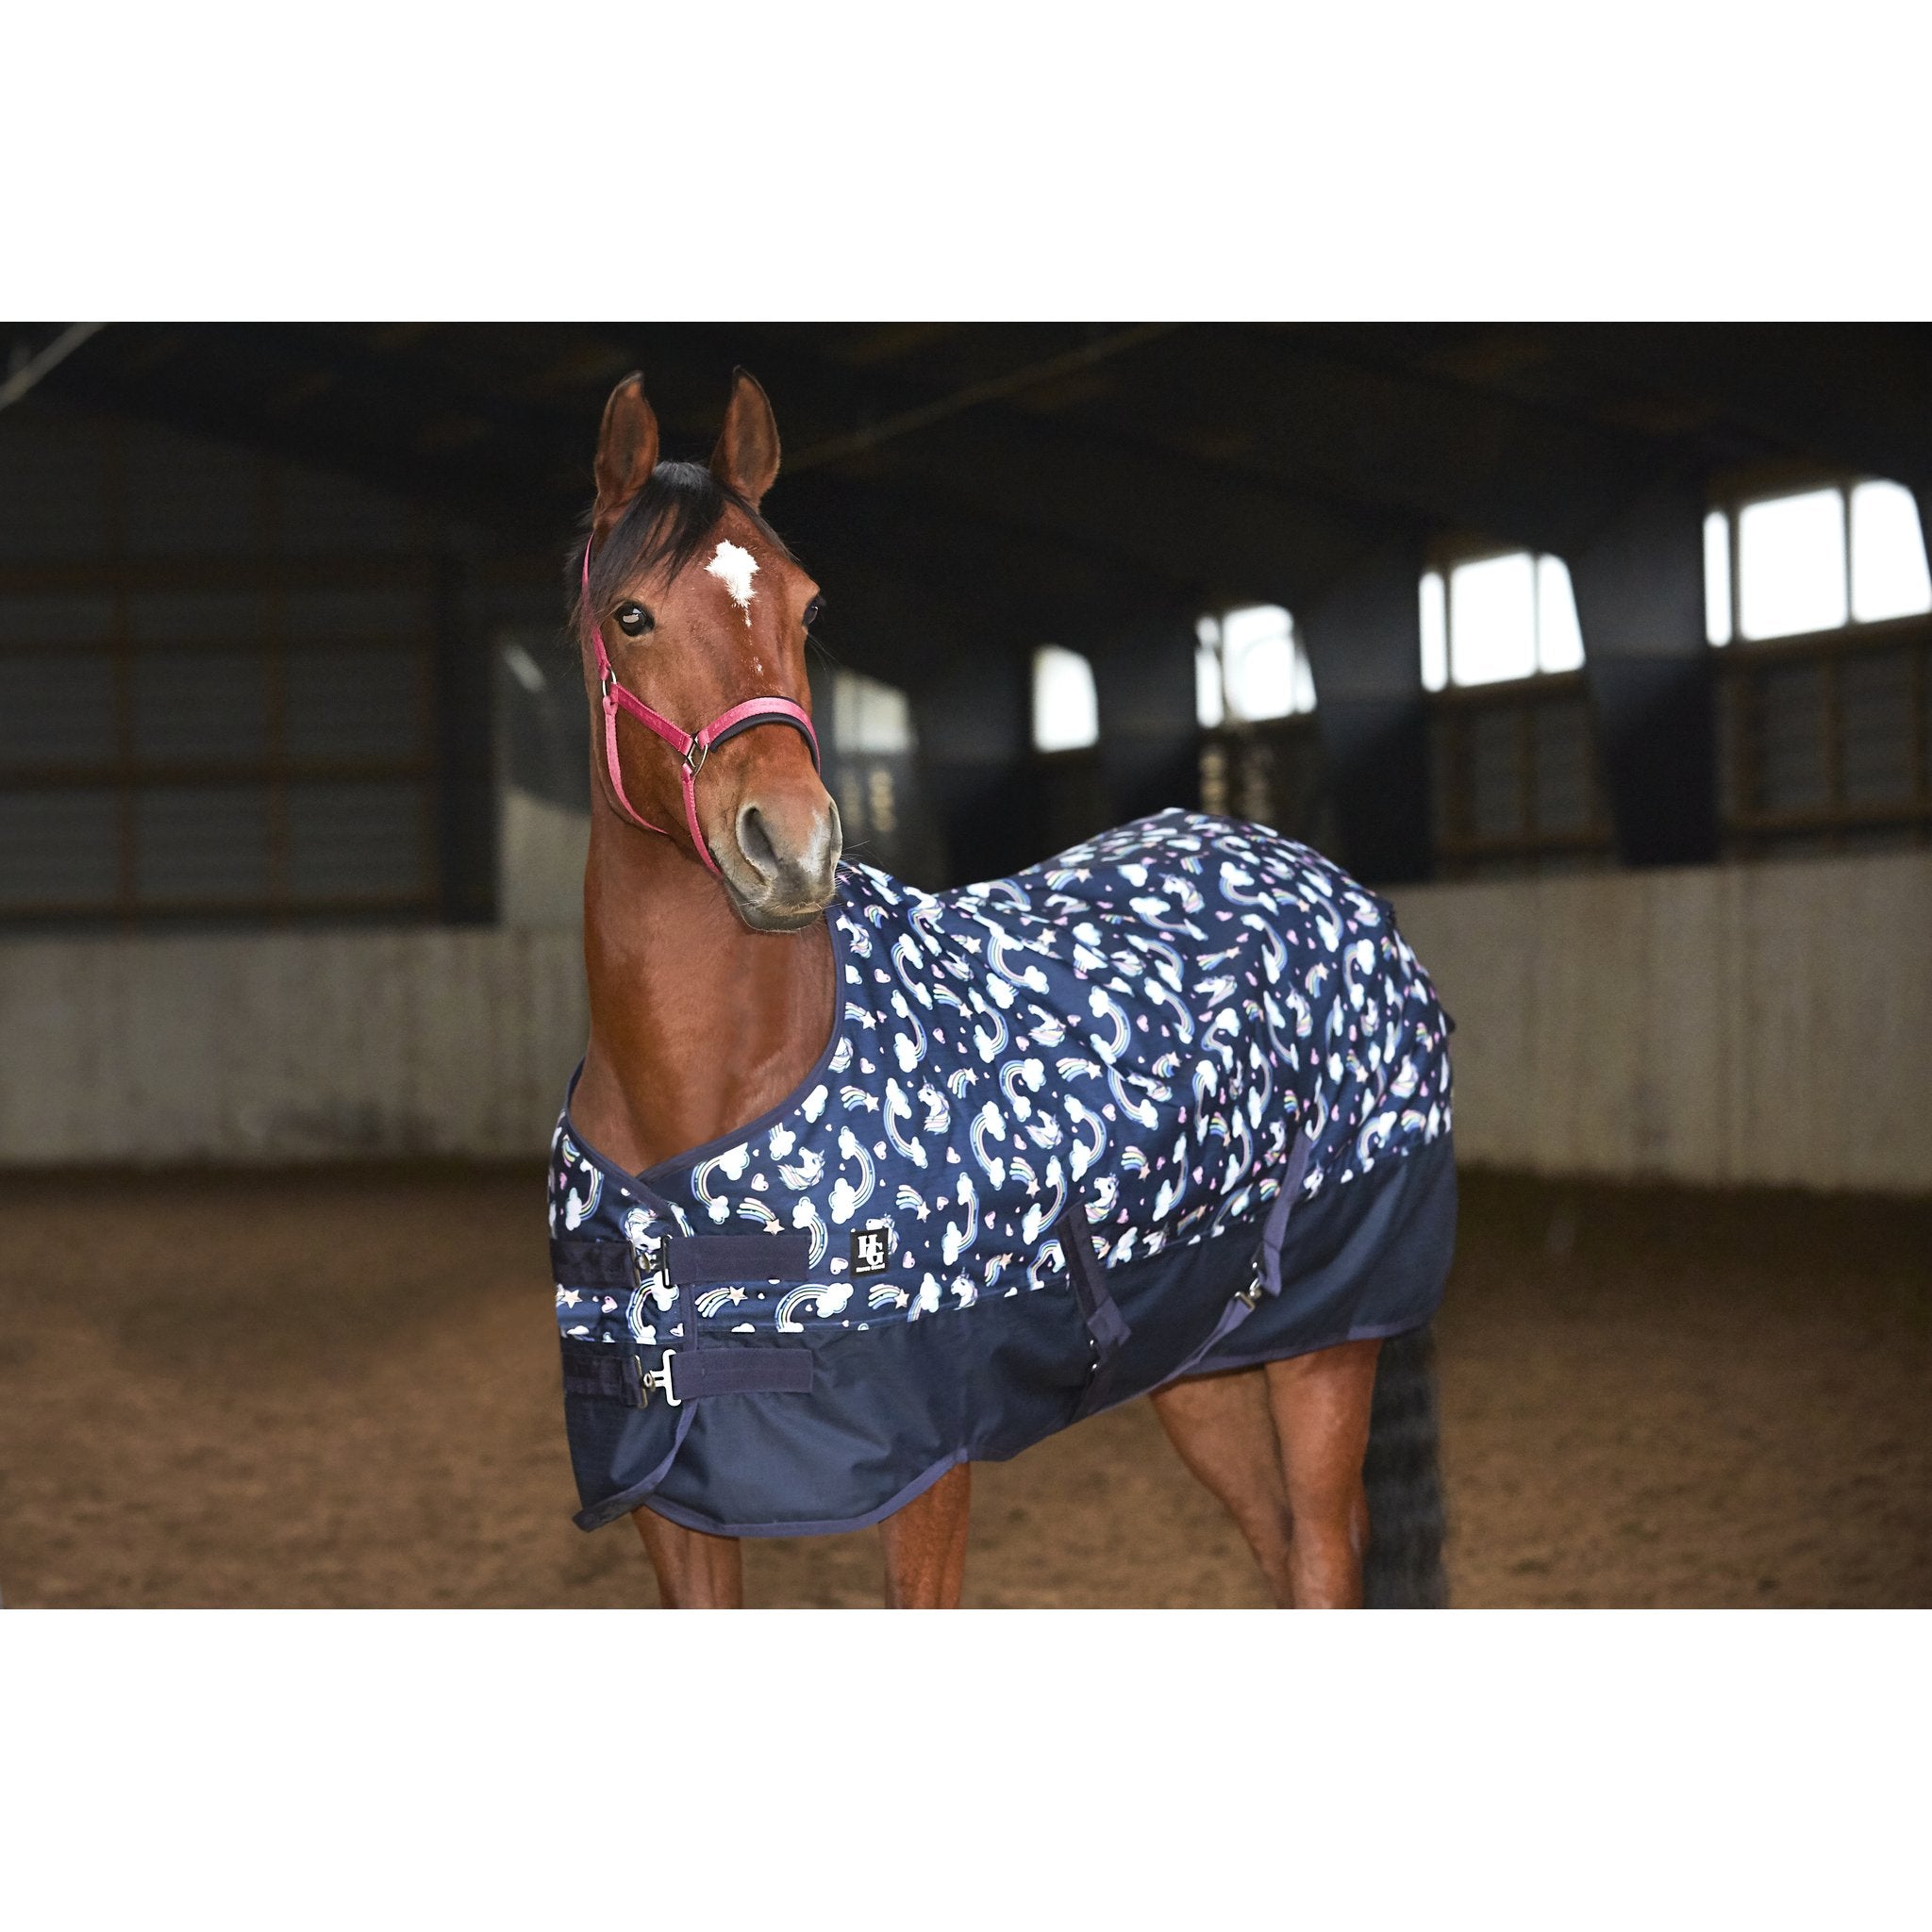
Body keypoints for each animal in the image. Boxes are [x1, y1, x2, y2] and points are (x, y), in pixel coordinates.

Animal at [548, 368, 1455, 1608]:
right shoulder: (670, 1505)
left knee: (1322, 1554)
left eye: (805, 608)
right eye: (630, 615)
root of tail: (1324, 878)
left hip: (1326, 1349)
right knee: (1275, 1548)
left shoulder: (929, 1475)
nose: (792, 845)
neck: (707, 1098)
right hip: (1202, 1366)